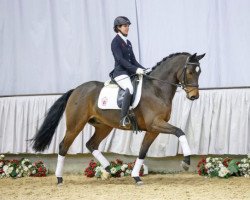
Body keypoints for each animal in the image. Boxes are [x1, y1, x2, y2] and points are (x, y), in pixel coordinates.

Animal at [31, 52, 205, 185]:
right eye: (190, 72)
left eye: (199, 72)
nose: (194, 96)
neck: (157, 89)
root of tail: (76, 90)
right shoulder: (155, 124)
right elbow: (180, 131)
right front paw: (186, 162)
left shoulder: (153, 129)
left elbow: (143, 151)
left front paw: (136, 176)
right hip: (75, 125)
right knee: (63, 146)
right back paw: (60, 179)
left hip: (104, 126)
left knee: (91, 144)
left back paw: (110, 169)